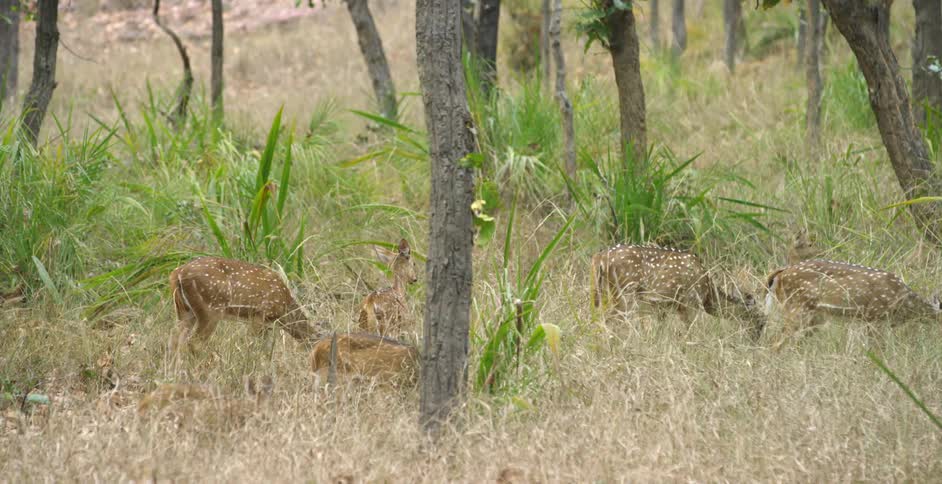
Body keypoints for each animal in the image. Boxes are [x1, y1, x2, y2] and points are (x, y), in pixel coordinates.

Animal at [169, 257, 321, 352]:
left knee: (175, 341)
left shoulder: (267, 325)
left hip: (184, 310)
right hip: (210, 310)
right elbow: (253, 346)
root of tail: (177, 274)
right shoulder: (259, 315)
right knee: (193, 343)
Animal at [591, 244, 766, 338]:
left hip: (605, 294)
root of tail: (599, 258)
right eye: (759, 319)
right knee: (608, 320)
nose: (756, 339)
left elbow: (660, 330)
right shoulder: (690, 302)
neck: (708, 293)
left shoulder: (665, 308)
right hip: (625, 293)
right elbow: (690, 330)